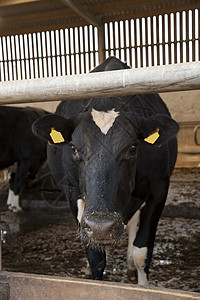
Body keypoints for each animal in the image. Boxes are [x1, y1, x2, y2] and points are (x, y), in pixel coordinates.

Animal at [32, 56, 179, 286]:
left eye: (133, 148)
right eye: (73, 148)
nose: (102, 225)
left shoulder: (159, 188)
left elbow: (142, 251)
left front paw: (143, 285)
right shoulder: (72, 192)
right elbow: (95, 256)